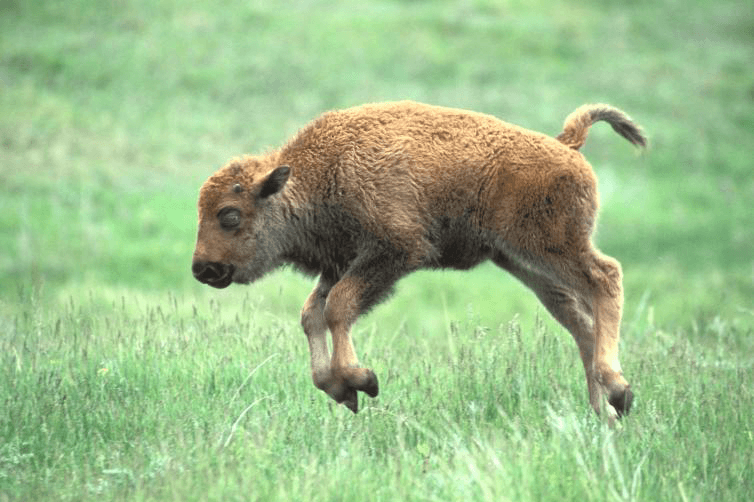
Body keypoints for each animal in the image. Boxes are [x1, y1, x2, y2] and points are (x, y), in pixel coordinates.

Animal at [191, 101, 644, 420]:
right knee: (579, 322)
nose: (202, 269)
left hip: (552, 247)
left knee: (606, 278)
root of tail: (566, 145)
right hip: (523, 262)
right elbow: (313, 315)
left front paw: (362, 381)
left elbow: (338, 308)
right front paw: (340, 390)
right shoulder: (340, 265)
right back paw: (602, 413)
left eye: (229, 215)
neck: (316, 175)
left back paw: (617, 391)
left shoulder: (393, 253)